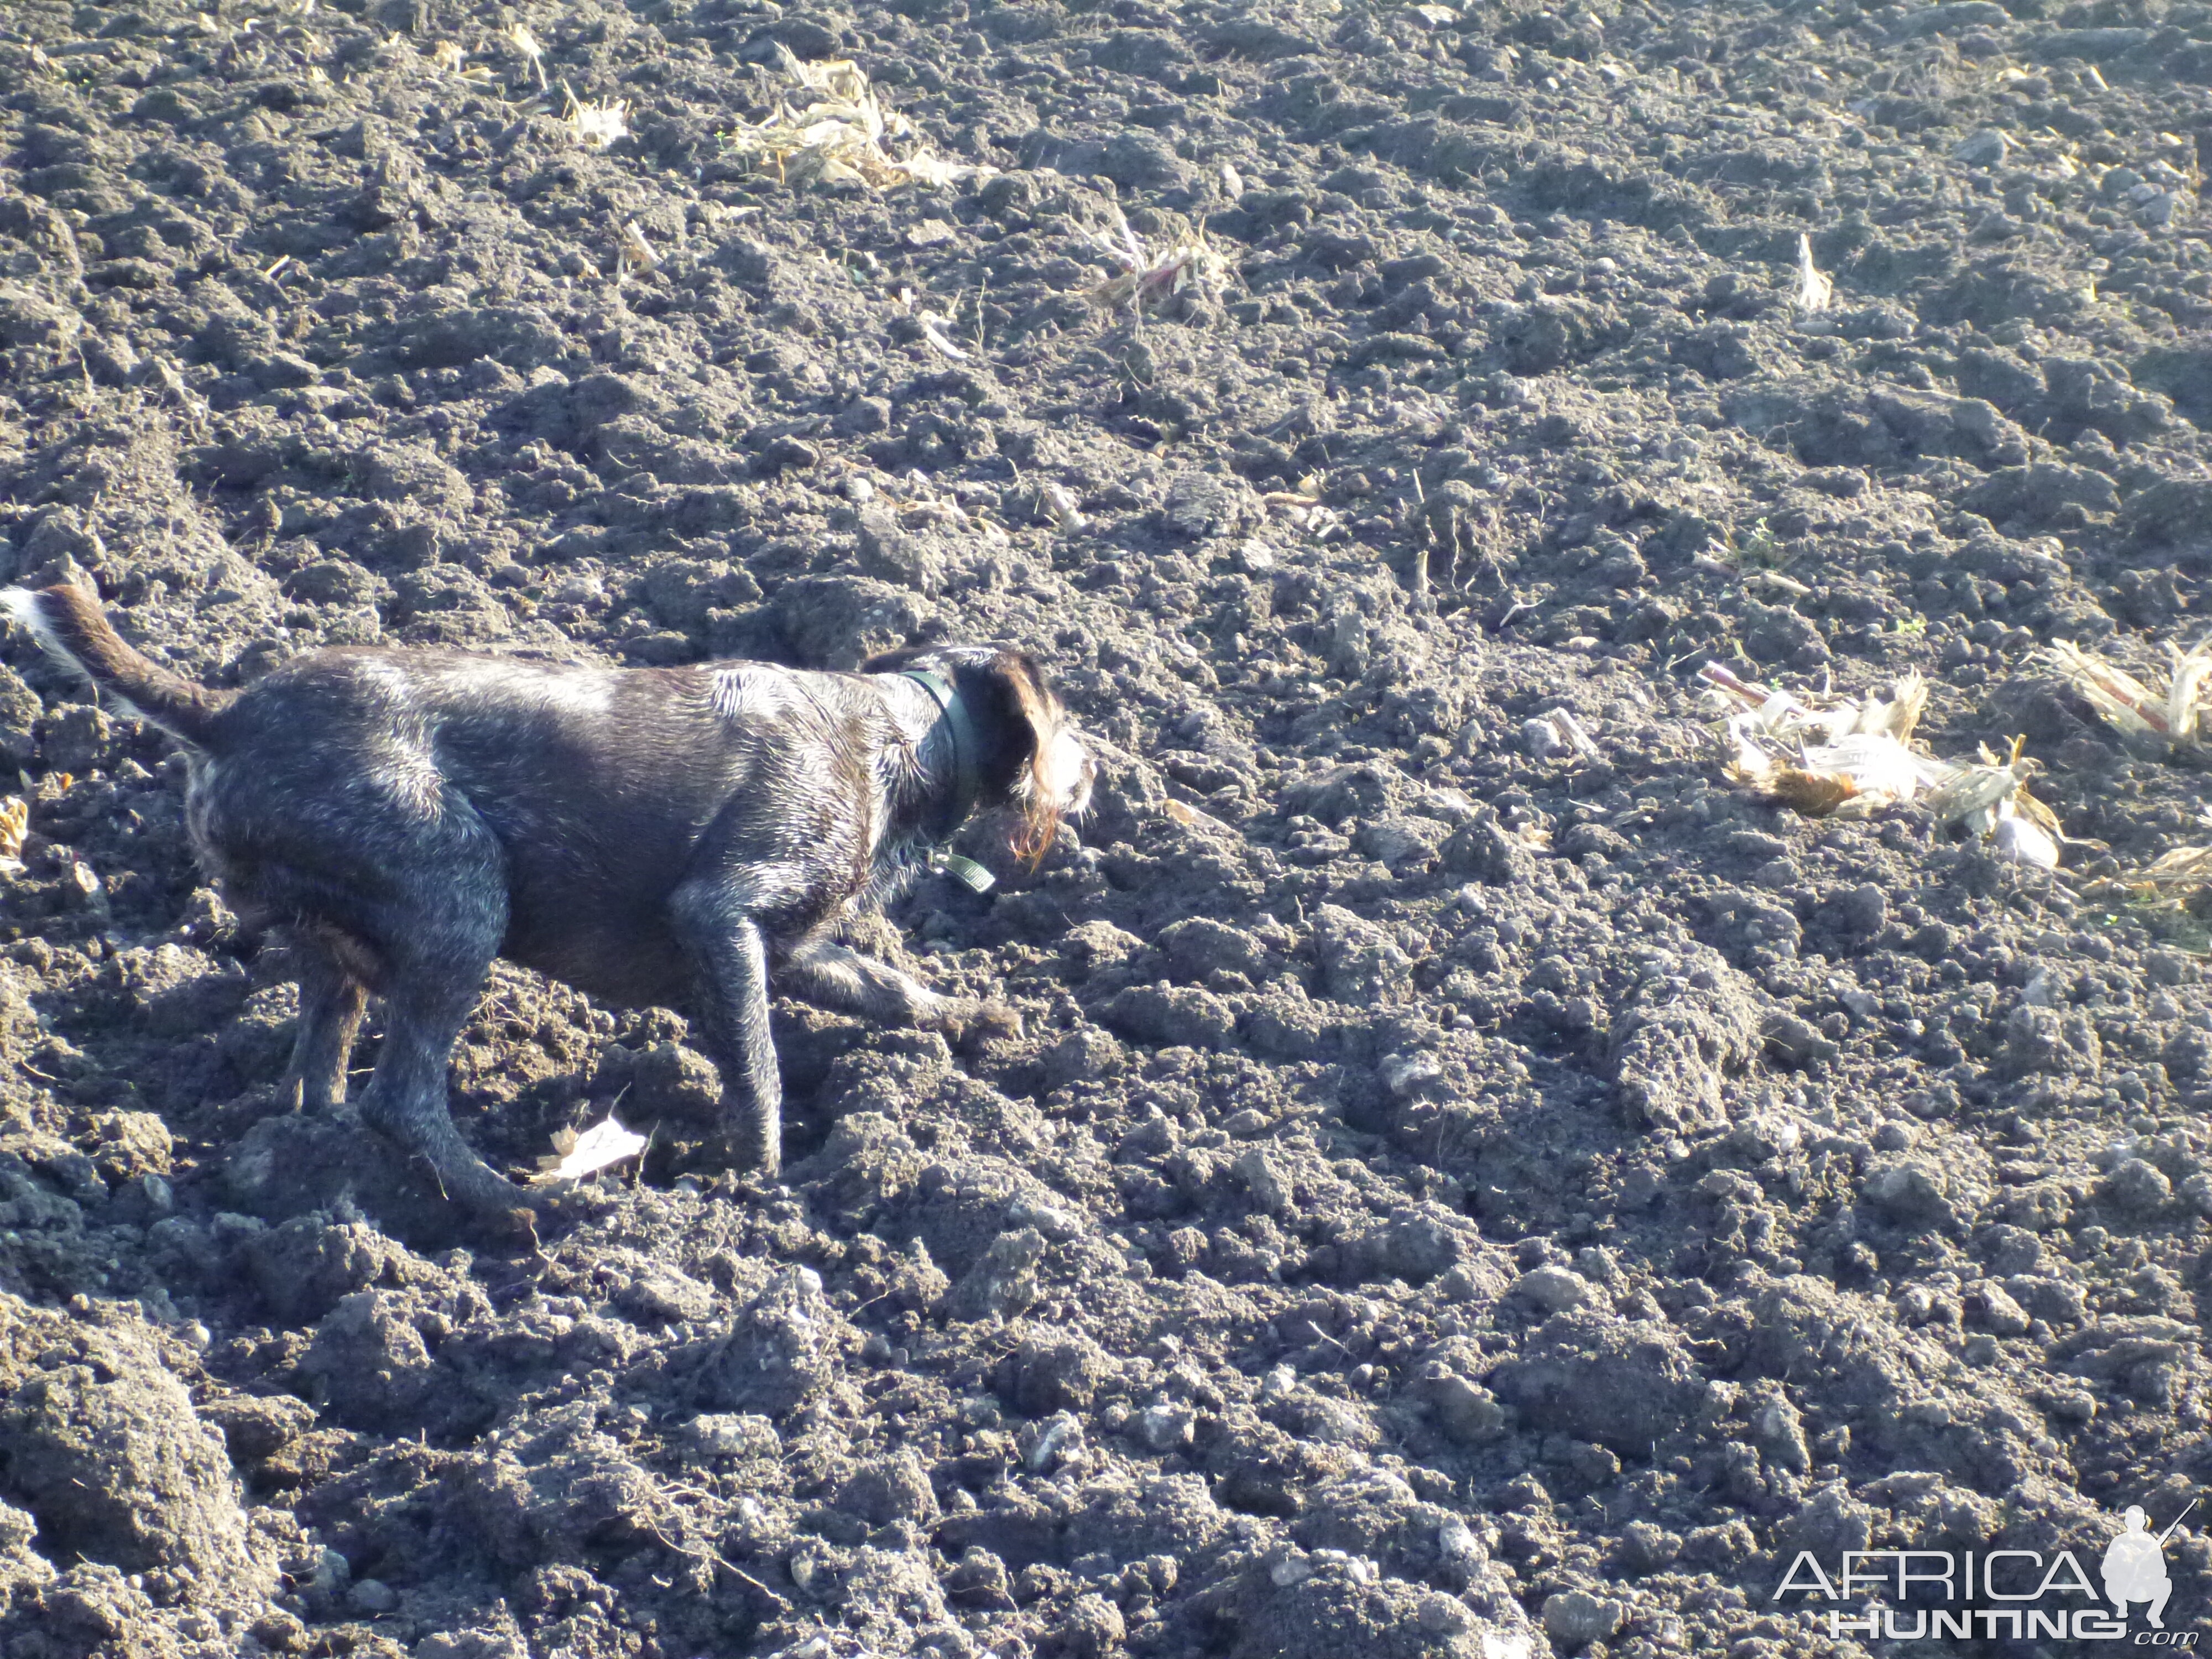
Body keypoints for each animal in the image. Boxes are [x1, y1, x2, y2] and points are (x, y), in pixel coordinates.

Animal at [6, 593, 1097, 1212]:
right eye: (1069, 722)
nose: (1097, 769)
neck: (901, 737)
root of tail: (223, 714)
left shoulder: (794, 948)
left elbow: (892, 989)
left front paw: (981, 1016)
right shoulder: (724, 915)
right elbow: (759, 1073)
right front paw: (767, 1179)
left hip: (341, 955)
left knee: (319, 1085)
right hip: (459, 896)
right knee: (402, 1097)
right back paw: (520, 1205)